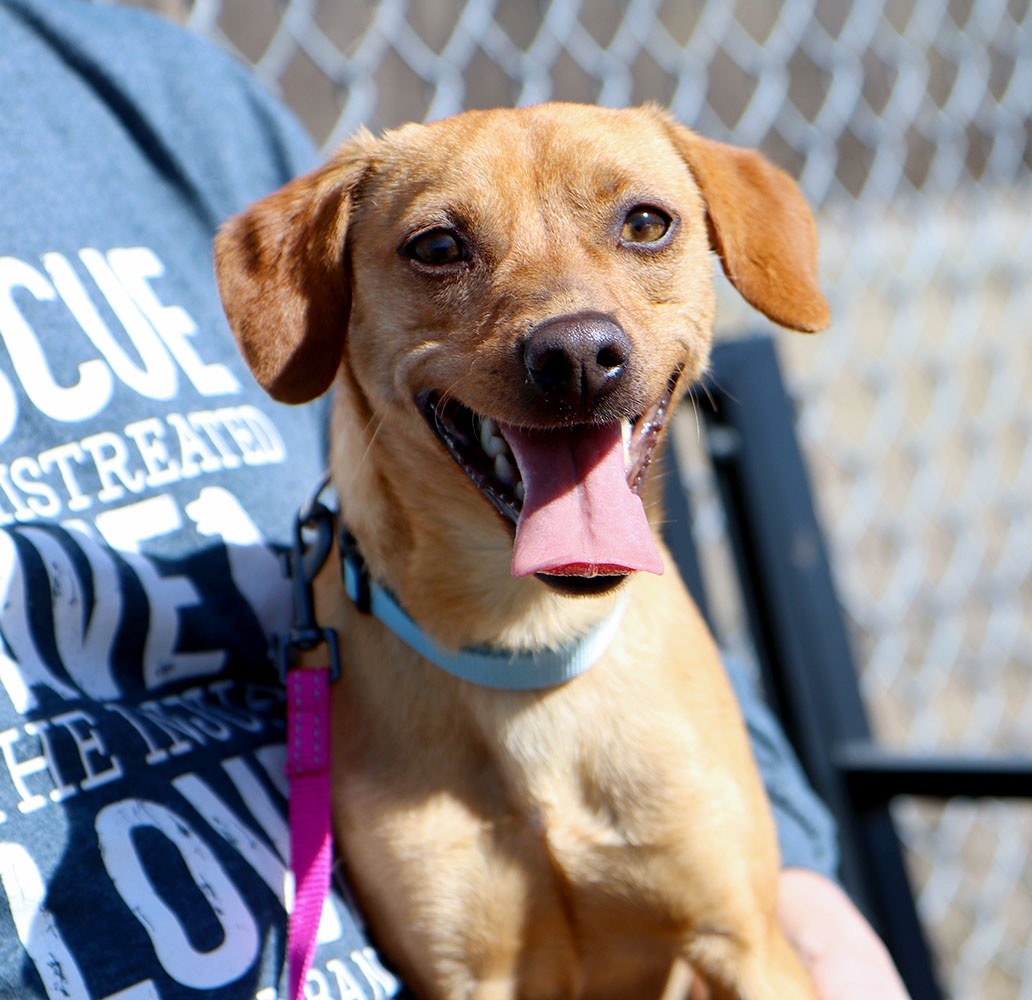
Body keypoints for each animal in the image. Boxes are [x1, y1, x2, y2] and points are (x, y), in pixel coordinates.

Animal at [215, 103, 829, 998]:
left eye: (647, 223)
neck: (532, 637)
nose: (576, 356)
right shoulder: (466, 970)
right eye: (437, 246)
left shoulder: (744, 943)